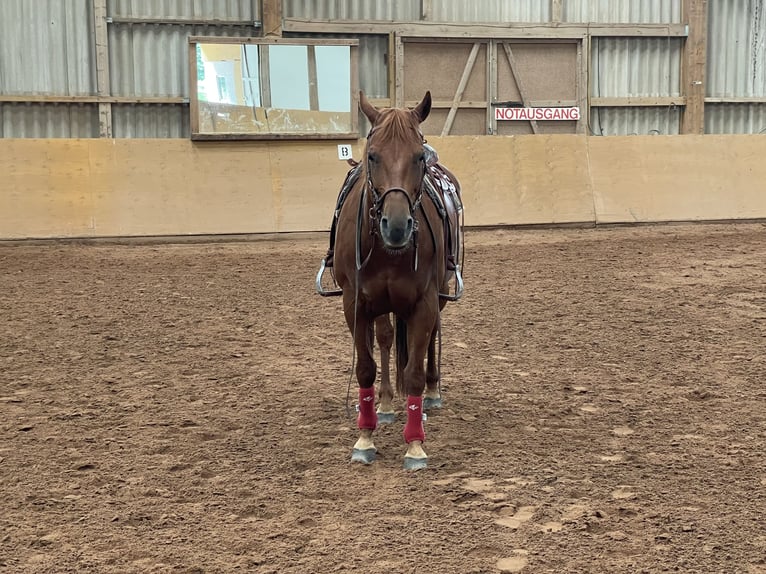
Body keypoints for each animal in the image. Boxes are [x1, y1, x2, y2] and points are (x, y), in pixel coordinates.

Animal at [318, 89, 462, 468]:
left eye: (418, 157)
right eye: (373, 156)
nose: (396, 227)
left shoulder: (425, 302)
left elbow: (412, 371)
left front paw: (415, 444)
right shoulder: (355, 303)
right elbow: (367, 367)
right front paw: (365, 437)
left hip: (438, 295)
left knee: (429, 341)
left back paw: (431, 393)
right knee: (385, 340)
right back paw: (384, 404)